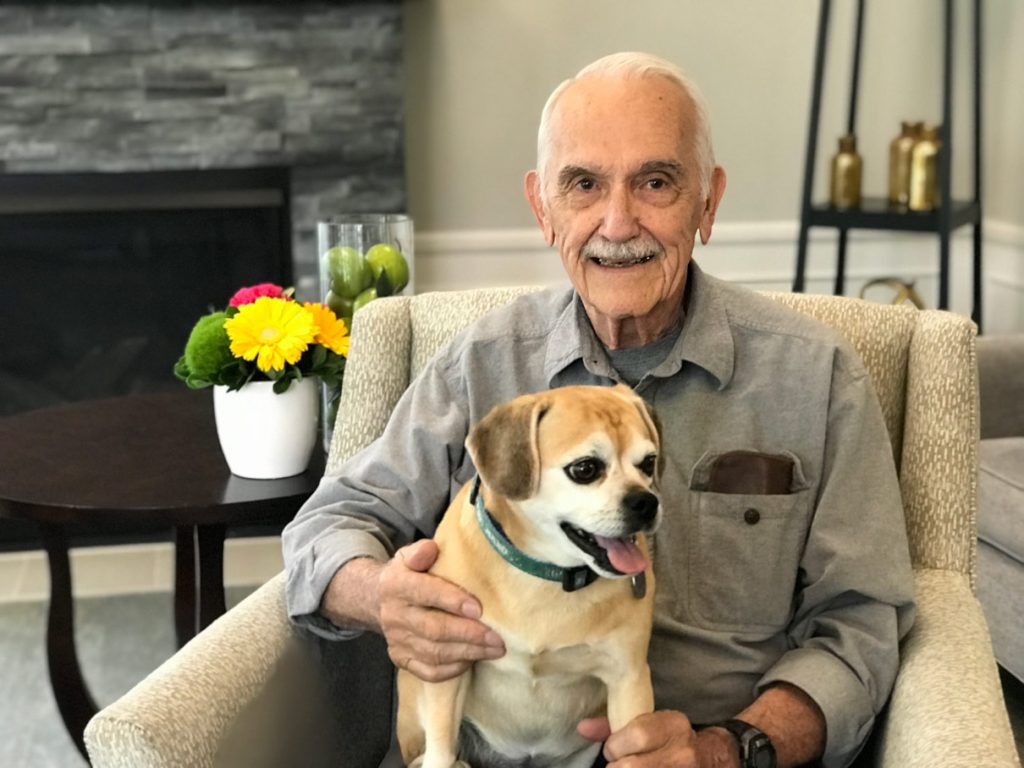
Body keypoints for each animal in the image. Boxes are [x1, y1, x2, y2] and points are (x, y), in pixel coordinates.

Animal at [395, 385, 659, 768]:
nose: (646, 502)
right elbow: (441, 750)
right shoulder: (450, 667)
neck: (546, 576)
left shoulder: (629, 680)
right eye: (585, 468)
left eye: (649, 463)